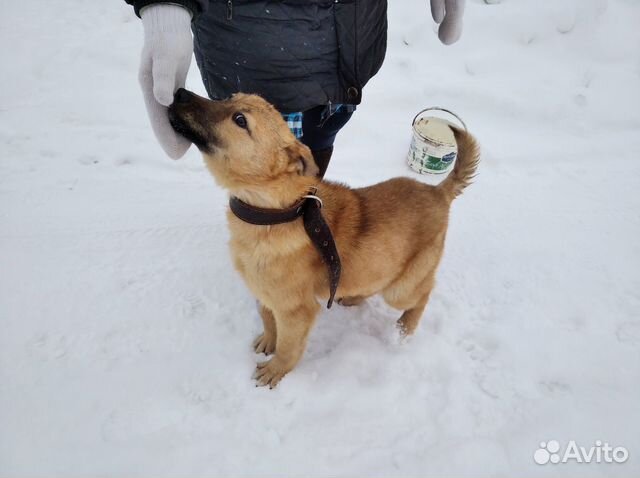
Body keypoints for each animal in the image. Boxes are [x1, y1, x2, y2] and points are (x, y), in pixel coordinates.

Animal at [168, 88, 478, 388]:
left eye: (240, 120)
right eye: (230, 97)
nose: (179, 93)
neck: (275, 213)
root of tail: (438, 192)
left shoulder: (297, 310)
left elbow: (288, 346)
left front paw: (276, 371)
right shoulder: (265, 292)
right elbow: (267, 318)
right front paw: (268, 340)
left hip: (402, 289)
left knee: (423, 295)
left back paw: (404, 330)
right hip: (378, 267)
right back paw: (354, 298)